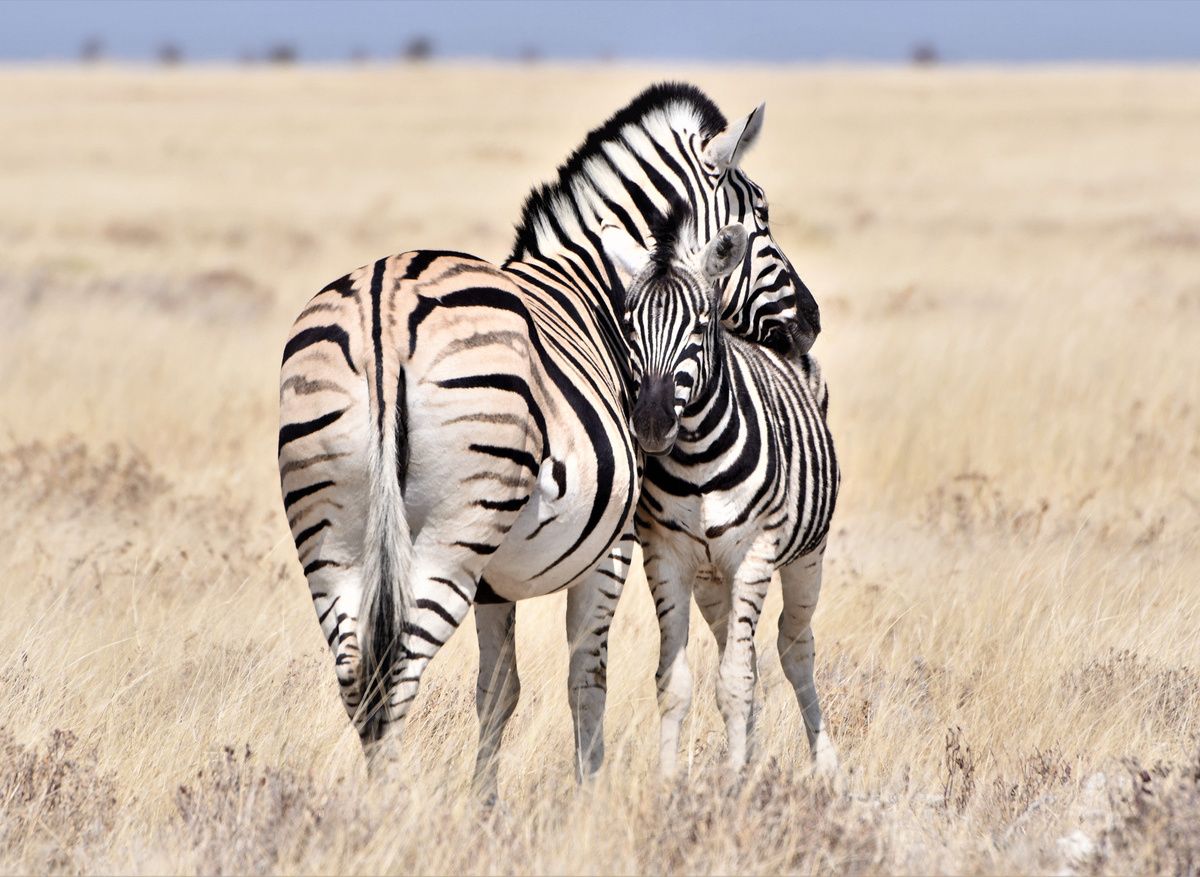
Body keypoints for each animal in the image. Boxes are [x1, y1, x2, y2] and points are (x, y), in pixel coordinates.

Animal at [600, 204, 840, 776]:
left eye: (700, 325)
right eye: (629, 327)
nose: (651, 426)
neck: (698, 459)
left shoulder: (756, 553)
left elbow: (735, 682)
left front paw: (733, 784)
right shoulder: (665, 557)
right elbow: (676, 684)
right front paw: (671, 781)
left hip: (806, 555)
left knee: (793, 647)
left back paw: (826, 767)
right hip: (713, 579)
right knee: (739, 644)